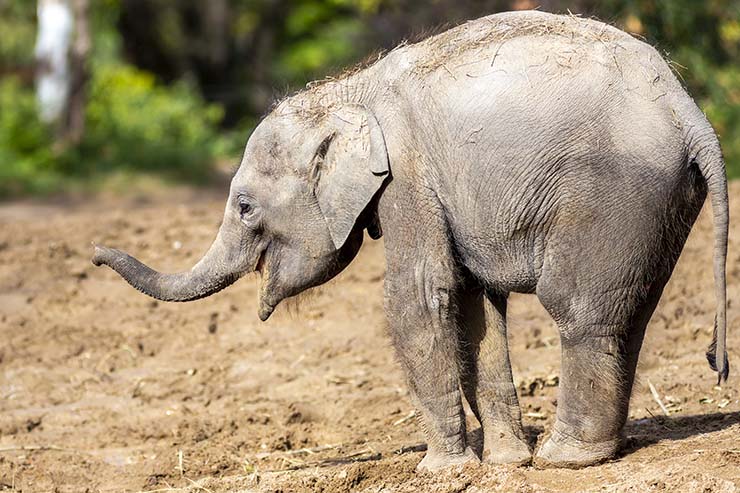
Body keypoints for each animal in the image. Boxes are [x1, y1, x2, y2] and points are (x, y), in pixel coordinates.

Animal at [92, 10, 730, 470]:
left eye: (245, 208)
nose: (95, 254)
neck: (349, 91)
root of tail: (688, 109)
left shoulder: (408, 178)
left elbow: (419, 298)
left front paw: (442, 471)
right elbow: (472, 305)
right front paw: (503, 464)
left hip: (612, 193)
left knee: (576, 308)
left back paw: (565, 460)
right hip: (658, 204)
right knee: (626, 314)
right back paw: (577, 452)